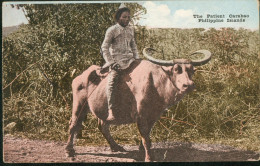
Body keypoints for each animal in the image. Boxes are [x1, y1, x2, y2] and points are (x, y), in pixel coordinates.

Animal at [65, 47, 211, 161]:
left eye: (192, 70)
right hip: (79, 104)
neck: (156, 83)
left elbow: (146, 137)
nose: (189, 85)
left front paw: (142, 152)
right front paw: (149, 158)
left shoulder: (153, 116)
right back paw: (69, 150)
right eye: (176, 69)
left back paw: (115, 146)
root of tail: (82, 75)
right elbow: (145, 137)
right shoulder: (141, 116)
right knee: (74, 124)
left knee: (102, 125)